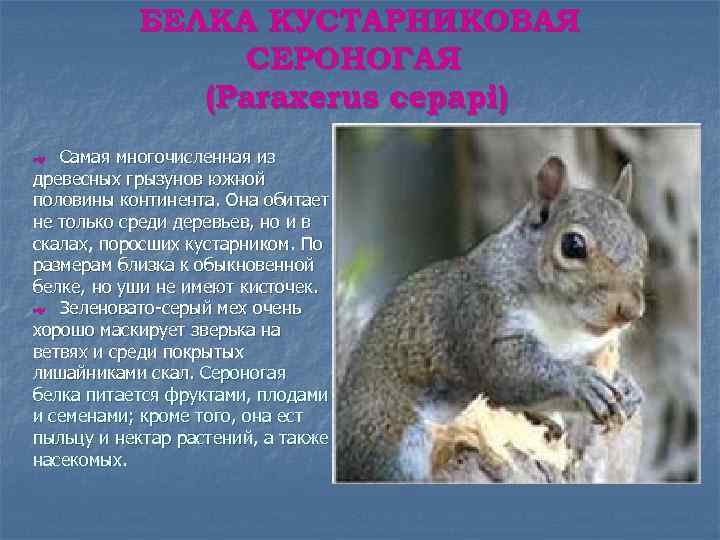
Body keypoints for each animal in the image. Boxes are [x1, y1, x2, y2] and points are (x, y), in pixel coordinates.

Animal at [336, 156, 647, 482]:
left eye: (643, 244)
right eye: (573, 245)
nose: (630, 311)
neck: (560, 322)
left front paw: (629, 388)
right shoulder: (477, 313)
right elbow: (505, 373)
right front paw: (580, 381)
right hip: (393, 438)